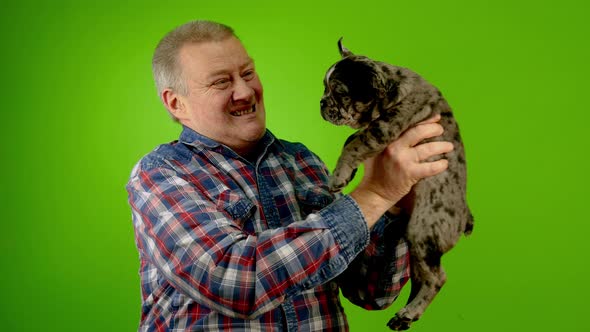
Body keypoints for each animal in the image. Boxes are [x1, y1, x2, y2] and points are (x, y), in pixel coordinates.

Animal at [322, 38, 474, 330]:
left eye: (339, 92)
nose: (322, 103)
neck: (390, 87)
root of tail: (464, 220)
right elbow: (351, 140)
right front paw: (347, 173)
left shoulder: (386, 126)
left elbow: (356, 143)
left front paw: (338, 176)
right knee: (422, 278)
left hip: (422, 232)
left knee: (437, 278)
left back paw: (409, 313)